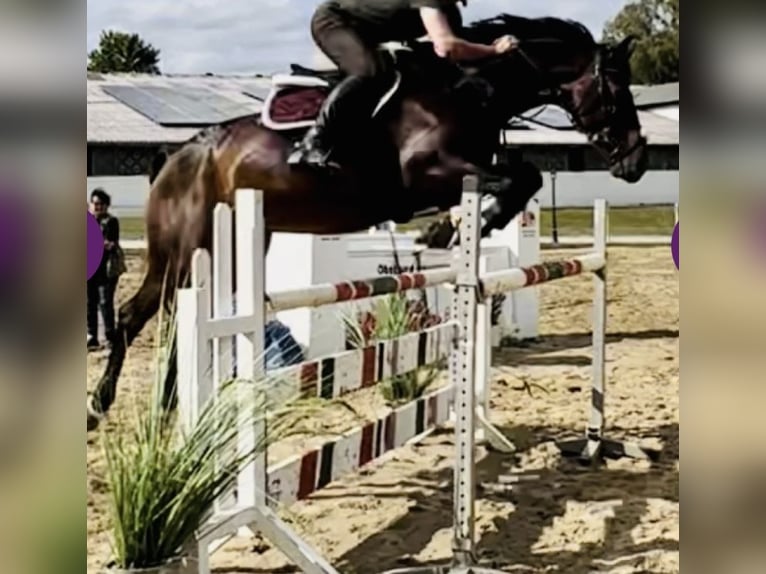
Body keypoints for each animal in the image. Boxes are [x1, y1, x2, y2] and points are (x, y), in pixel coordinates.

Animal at [87, 14, 648, 431]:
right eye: (618, 90)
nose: (636, 161)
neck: (468, 89)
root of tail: (178, 156)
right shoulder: (430, 171)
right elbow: (519, 176)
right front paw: (441, 230)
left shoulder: (467, 170)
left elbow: (520, 177)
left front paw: (452, 229)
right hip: (184, 252)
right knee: (140, 318)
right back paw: (104, 406)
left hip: (227, 251)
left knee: (166, 320)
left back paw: (154, 409)